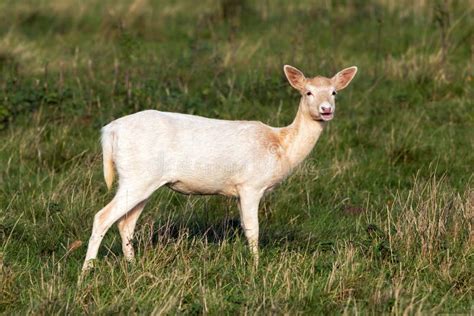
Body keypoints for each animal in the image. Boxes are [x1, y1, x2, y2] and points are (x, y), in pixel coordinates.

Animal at [82, 65, 356, 272]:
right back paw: (87, 271)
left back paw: (132, 265)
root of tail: (110, 132)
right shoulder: (251, 184)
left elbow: (245, 227)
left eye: (334, 92)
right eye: (308, 92)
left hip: (142, 180)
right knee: (102, 217)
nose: (326, 109)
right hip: (137, 175)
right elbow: (253, 229)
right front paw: (256, 267)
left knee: (125, 223)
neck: (281, 146)